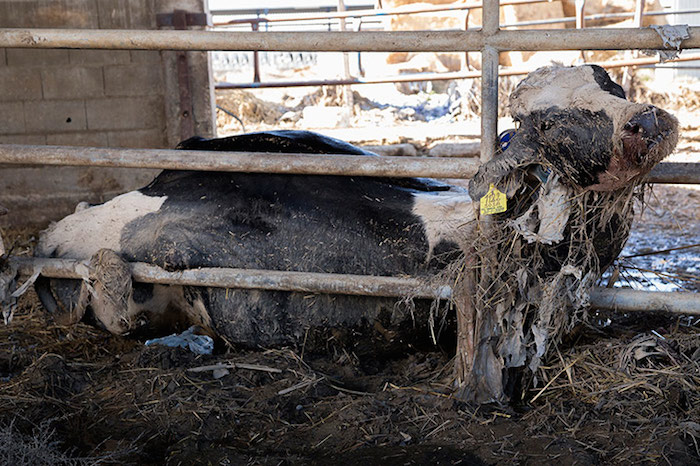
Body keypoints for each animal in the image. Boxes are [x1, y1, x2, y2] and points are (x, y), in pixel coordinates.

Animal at [31, 65, 680, 372]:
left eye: (608, 82)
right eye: (548, 123)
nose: (646, 121)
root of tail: (53, 237)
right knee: (119, 309)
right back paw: (109, 270)